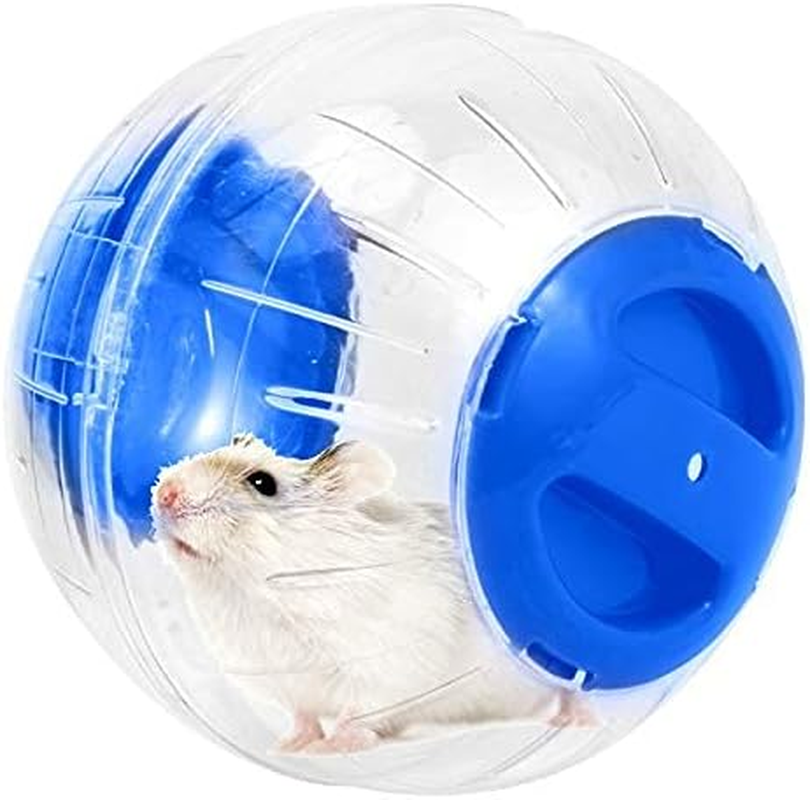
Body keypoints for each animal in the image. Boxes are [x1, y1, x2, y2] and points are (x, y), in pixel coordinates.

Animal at [151, 434, 593, 754]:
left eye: (262, 483)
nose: (163, 491)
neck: (258, 595)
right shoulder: (280, 678)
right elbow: (304, 715)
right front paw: (288, 746)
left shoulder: (383, 666)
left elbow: (357, 713)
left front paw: (330, 748)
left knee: (574, 686)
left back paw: (580, 720)